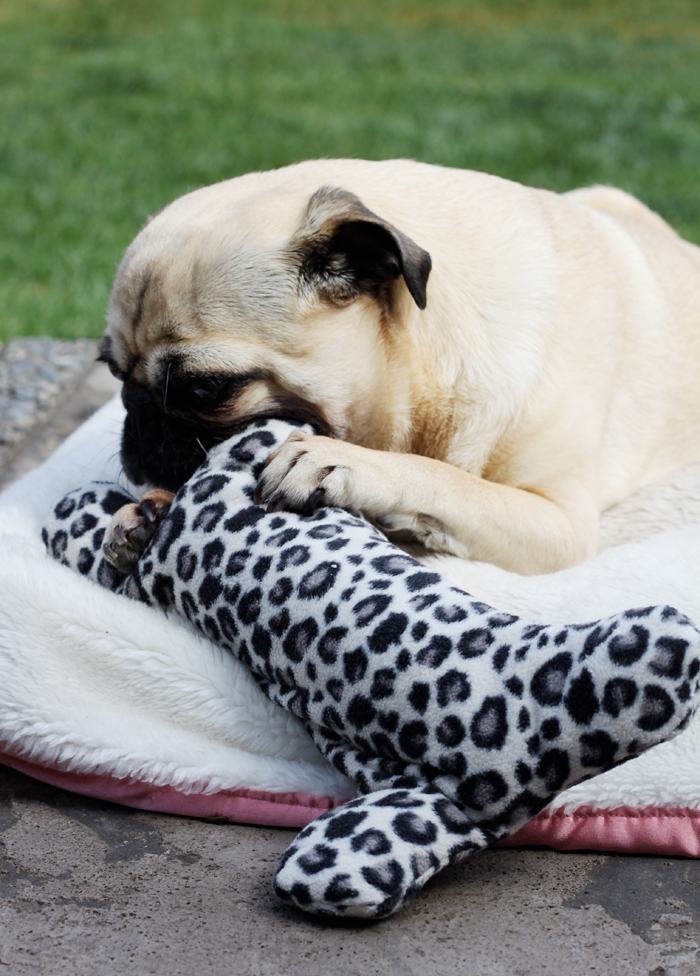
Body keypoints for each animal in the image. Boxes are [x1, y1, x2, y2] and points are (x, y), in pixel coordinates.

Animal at [97, 156, 700, 576]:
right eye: (113, 374)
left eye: (204, 390)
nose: (138, 417)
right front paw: (152, 509)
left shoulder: (559, 522)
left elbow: (447, 481)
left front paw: (347, 463)